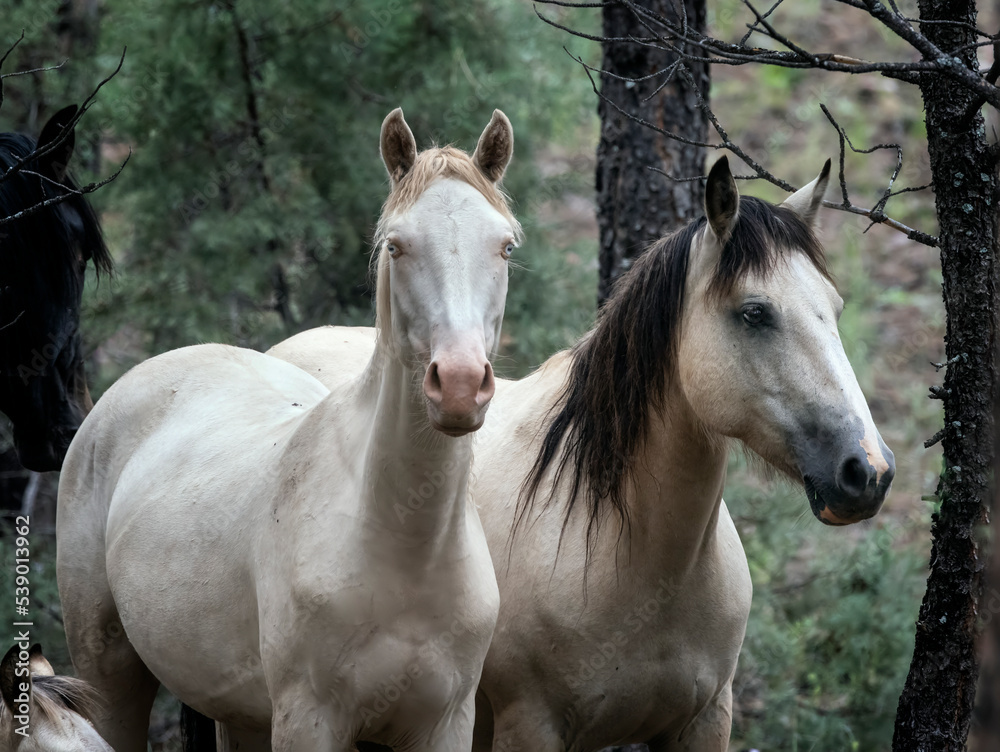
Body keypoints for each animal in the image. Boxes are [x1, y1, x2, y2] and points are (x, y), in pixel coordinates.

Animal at [57, 107, 519, 752]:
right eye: (397, 246)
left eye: (504, 247)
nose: (457, 383)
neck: (406, 544)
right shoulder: (309, 719)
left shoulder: (445, 723)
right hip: (110, 675)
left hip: (238, 713)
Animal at [267, 155, 895, 751]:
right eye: (755, 313)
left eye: (835, 308)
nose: (868, 471)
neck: (642, 561)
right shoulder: (530, 727)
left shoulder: (705, 721)